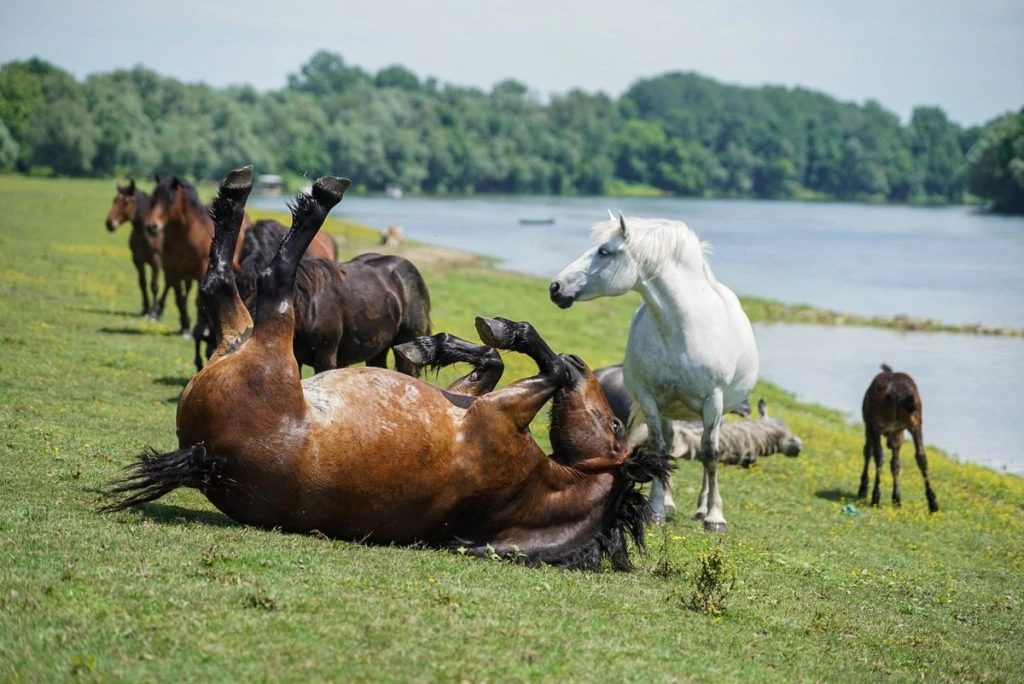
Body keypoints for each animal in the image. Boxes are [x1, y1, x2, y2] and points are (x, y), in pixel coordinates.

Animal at [104, 179, 167, 317]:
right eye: (114, 200)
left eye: (126, 202)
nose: (109, 224)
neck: (145, 233)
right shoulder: (138, 260)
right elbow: (142, 283)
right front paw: (145, 309)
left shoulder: (156, 262)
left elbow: (154, 286)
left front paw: (152, 312)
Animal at [552, 214, 761, 532]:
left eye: (604, 251)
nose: (556, 287)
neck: (682, 330)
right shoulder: (650, 399)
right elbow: (659, 450)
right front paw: (657, 510)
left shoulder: (713, 402)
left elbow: (711, 454)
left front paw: (714, 516)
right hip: (668, 409)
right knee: (670, 444)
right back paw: (671, 502)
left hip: (718, 411)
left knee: (708, 450)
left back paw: (701, 507)